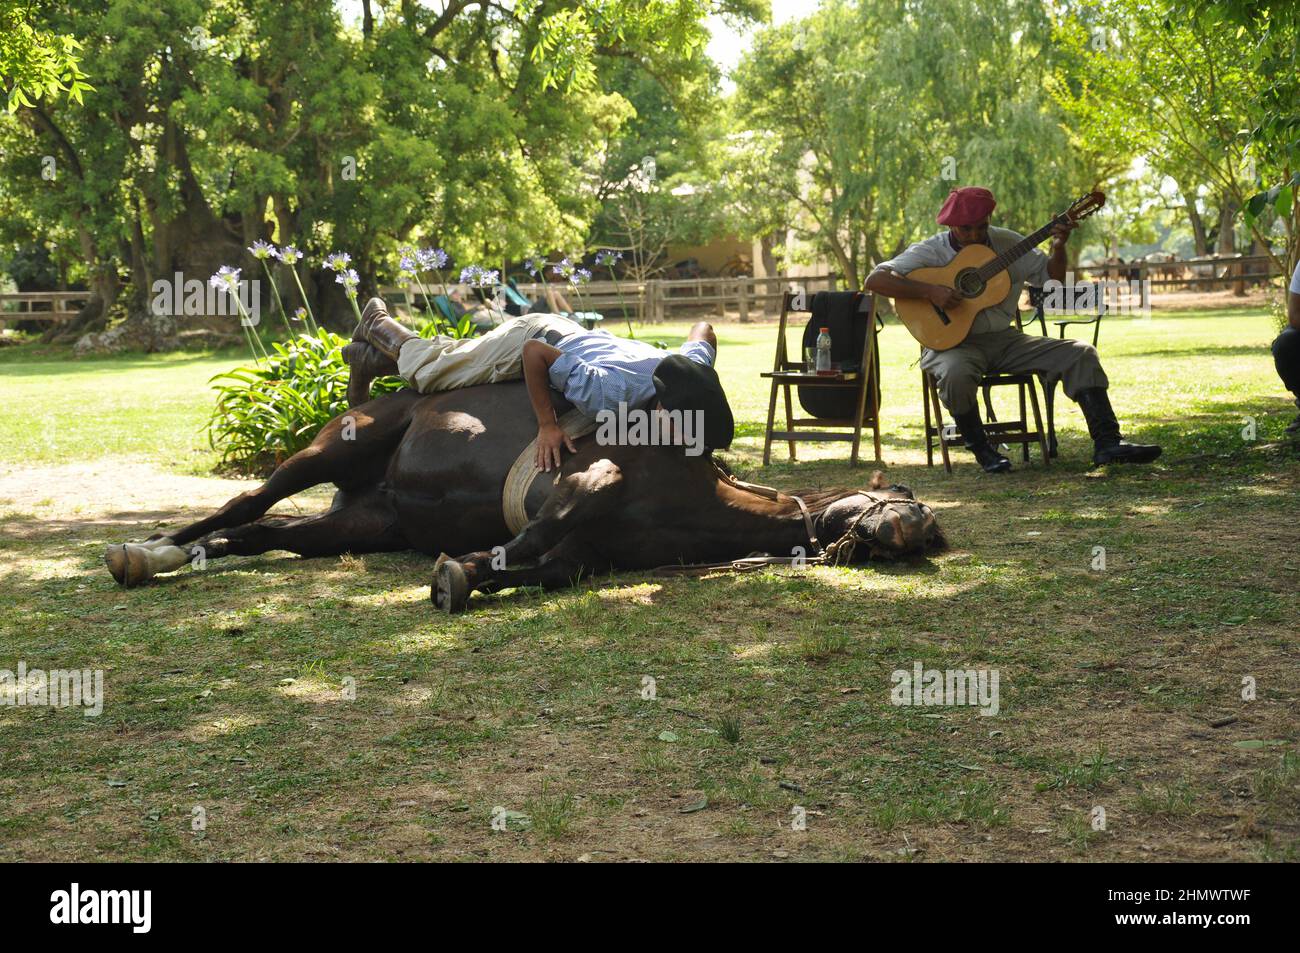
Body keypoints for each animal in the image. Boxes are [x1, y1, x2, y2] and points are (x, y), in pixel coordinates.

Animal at [104, 384, 946, 613]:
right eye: (906, 495)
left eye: (927, 522)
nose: (909, 531)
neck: (694, 496)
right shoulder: (582, 484)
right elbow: (537, 533)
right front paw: (465, 567)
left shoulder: (589, 553)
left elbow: (549, 567)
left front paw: (472, 574)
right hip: (332, 447)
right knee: (246, 502)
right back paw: (146, 550)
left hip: (361, 523)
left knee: (263, 534)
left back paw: (177, 556)